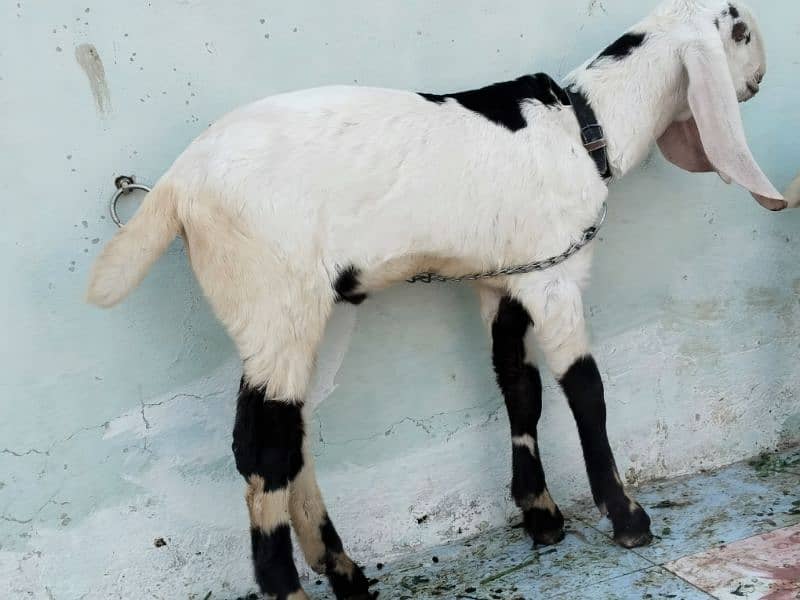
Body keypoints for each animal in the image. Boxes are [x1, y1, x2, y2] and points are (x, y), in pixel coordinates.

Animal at [86, 2, 788, 596]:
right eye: (741, 31)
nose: (759, 81)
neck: (585, 126)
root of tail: (177, 186)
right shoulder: (554, 279)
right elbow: (584, 391)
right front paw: (627, 517)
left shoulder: (501, 279)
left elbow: (519, 385)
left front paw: (541, 515)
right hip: (273, 301)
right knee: (261, 446)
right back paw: (288, 587)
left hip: (305, 314)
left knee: (292, 436)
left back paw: (342, 570)